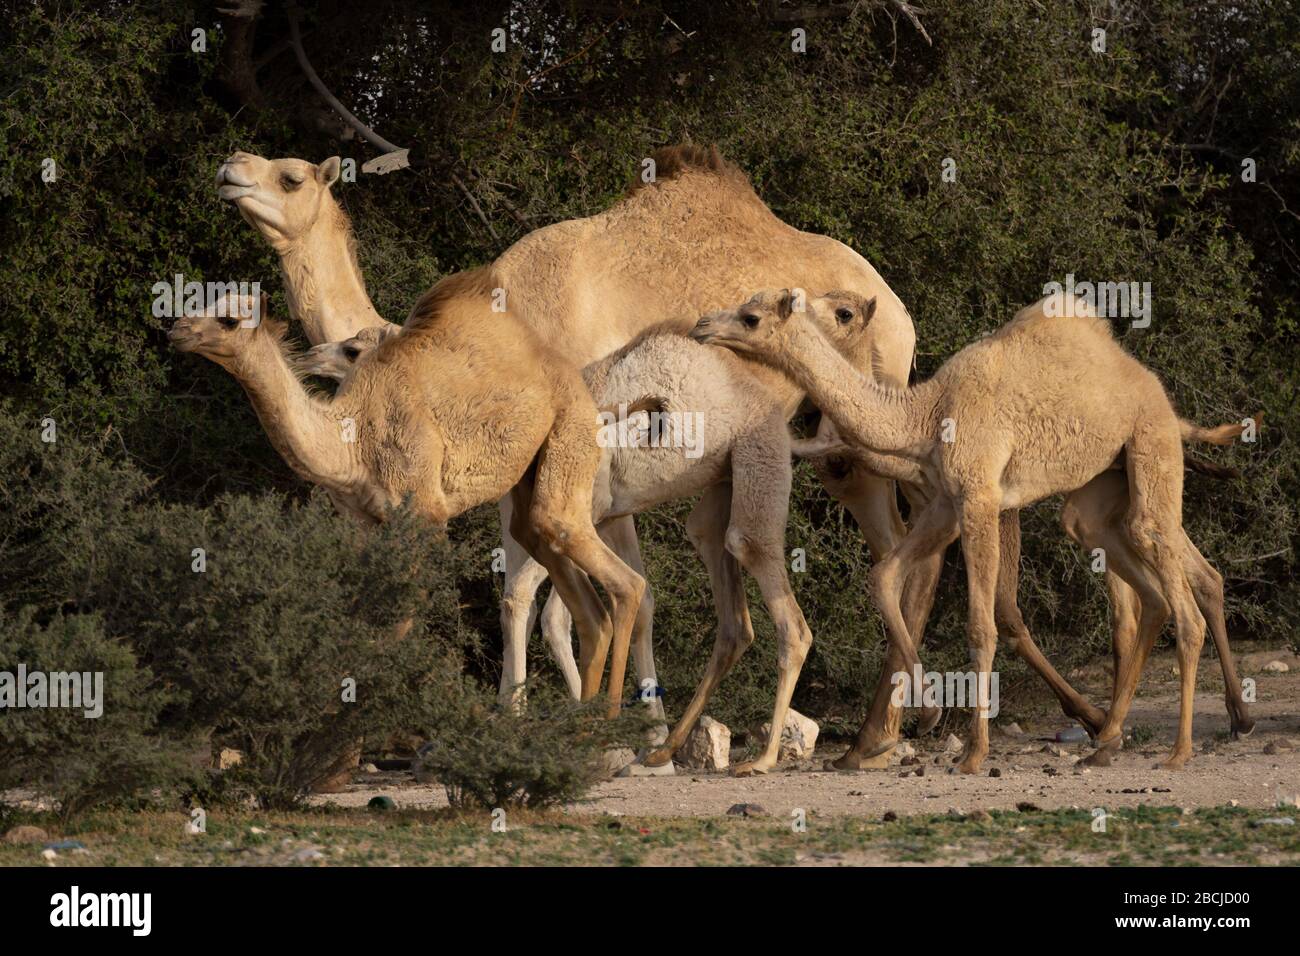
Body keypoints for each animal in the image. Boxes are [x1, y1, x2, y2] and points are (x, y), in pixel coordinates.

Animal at [167, 277, 644, 717]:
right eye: (206, 302)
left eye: (229, 319)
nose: (177, 328)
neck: (351, 442)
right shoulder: (365, 523)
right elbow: (364, 611)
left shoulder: (425, 514)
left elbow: (403, 617)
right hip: (531, 485)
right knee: (574, 590)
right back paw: (578, 720)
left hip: (570, 435)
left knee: (622, 579)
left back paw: (605, 722)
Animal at [218, 145, 941, 723]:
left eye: (290, 177)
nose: (230, 168)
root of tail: (895, 302)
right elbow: (549, 598)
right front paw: (571, 712)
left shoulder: (588, 452)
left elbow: (568, 595)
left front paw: (604, 719)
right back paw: (888, 729)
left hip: (872, 395)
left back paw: (900, 727)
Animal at [691, 295, 1227, 775]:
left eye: (750, 316)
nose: (701, 325)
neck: (926, 412)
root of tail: (1154, 387)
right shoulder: (946, 504)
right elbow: (884, 576)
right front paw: (926, 714)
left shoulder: (979, 499)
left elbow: (981, 624)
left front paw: (972, 754)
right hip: (1101, 481)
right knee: (1139, 572)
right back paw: (1108, 742)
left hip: (1150, 439)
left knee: (1166, 563)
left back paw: (1179, 751)